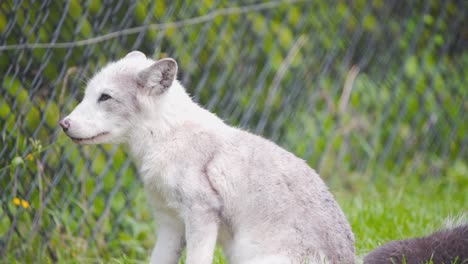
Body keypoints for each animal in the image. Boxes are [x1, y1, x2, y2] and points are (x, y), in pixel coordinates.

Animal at [59, 52, 354, 264]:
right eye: (87, 95)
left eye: (105, 97)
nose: (63, 123)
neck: (168, 138)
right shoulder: (170, 224)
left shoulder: (201, 213)